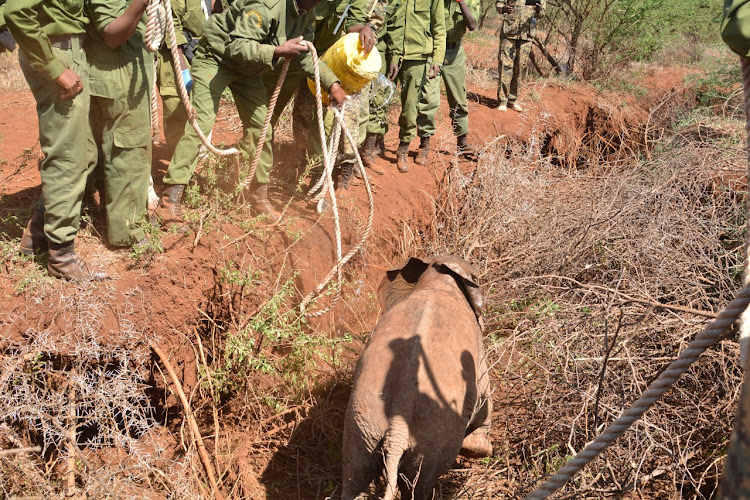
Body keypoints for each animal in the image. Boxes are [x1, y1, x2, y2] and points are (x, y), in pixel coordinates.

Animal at [340, 256, 494, 498]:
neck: (438, 279)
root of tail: (397, 428)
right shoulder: (478, 357)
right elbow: (484, 395)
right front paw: (482, 448)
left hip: (362, 430)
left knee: (354, 478)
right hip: (432, 442)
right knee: (419, 485)